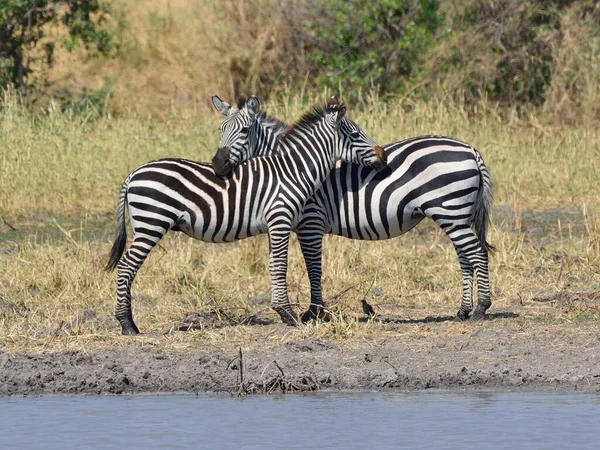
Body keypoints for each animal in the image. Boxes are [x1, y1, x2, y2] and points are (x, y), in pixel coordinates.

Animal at [105, 96, 386, 334]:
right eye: (355, 133)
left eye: (242, 131)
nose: (382, 156)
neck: (292, 171)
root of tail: (133, 173)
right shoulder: (282, 219)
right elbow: (282, 265)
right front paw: (289, 315)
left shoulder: (276, 224)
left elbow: (274, 265)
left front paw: (282, 312)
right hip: (151, 224)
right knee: (127, 265)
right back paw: (127, 324)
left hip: (145, 225)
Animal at [213, 96, 494, 324]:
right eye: (220, 130)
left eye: (245, 130)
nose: (217, 164)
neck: (291, 167)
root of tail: (471, 149)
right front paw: (315, 312)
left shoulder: (310, 223)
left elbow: (314, 268)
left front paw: (314, 313)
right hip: (455, 214)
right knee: (466, 258)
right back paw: (463, 310)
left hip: (450, 210)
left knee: (478, 254)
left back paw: (481, 308)